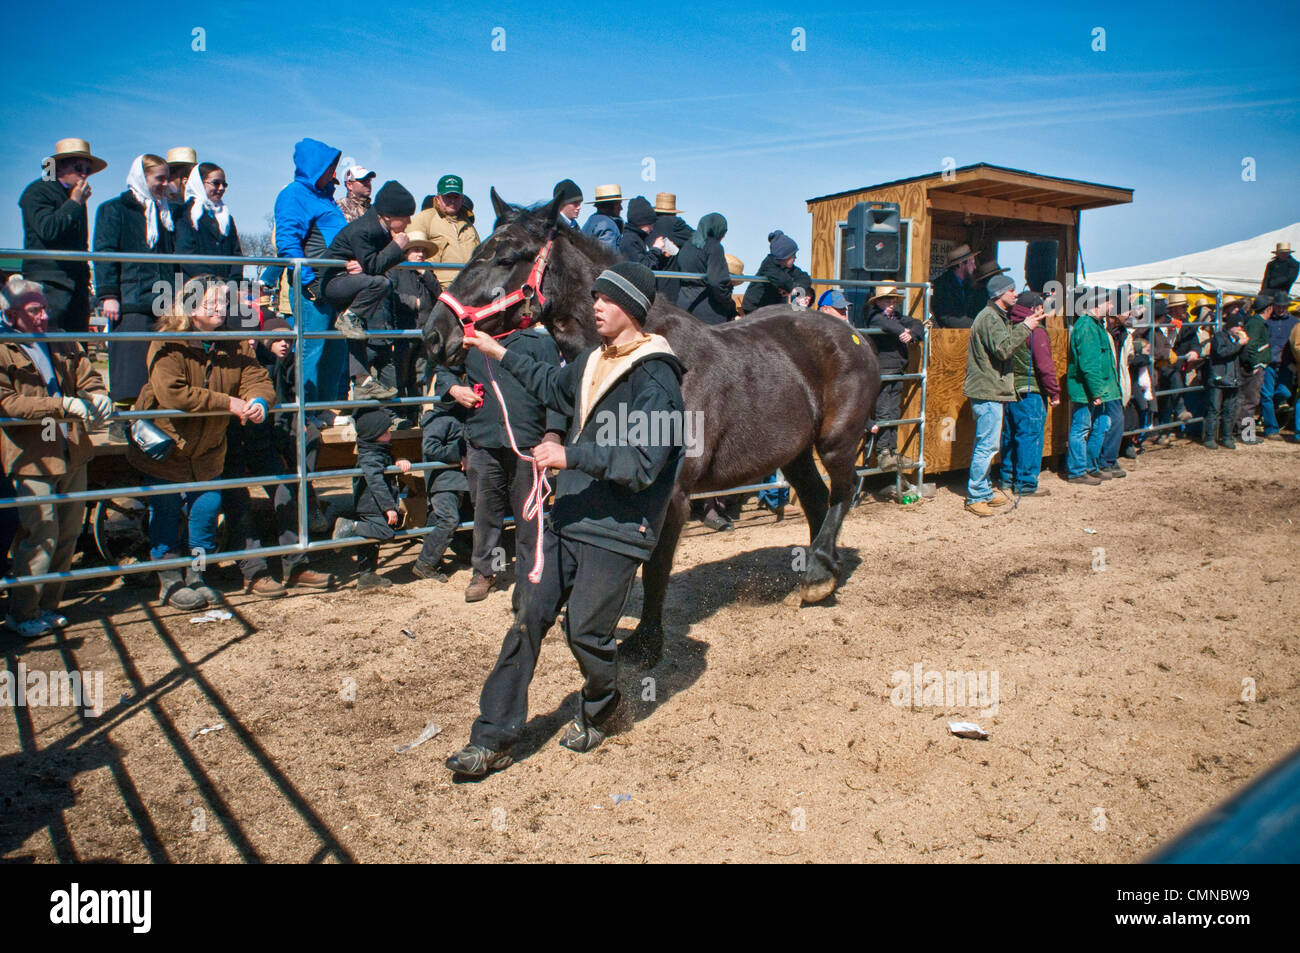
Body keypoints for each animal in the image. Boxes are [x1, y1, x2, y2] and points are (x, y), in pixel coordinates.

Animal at [426, 185, 883, 660]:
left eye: (508, 257)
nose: (435, 335)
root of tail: (854, 336)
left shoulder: (671, 496)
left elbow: (655, 569)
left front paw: (646, 642)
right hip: (793, 452)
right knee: (816, 499)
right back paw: (819, 575)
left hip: (836, 442)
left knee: (842, 493)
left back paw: (819, 576)